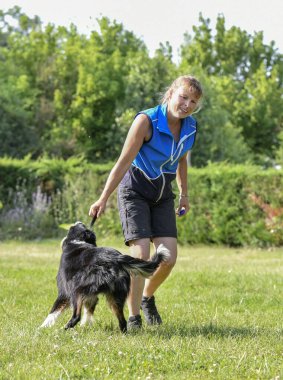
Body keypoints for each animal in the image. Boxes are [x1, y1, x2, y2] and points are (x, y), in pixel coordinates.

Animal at [40, 223, 169, 332]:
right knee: (122, 321)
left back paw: (62, 329)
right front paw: (85, 325)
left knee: (76, 316)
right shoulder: (91, 296)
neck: (77, 241)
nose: (79, 222)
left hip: (77, 290)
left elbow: (53, 311)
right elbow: (89, 311)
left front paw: (42, 328)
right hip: (115, 296)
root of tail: (115, 258)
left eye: (71, 228)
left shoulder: (64, 292)